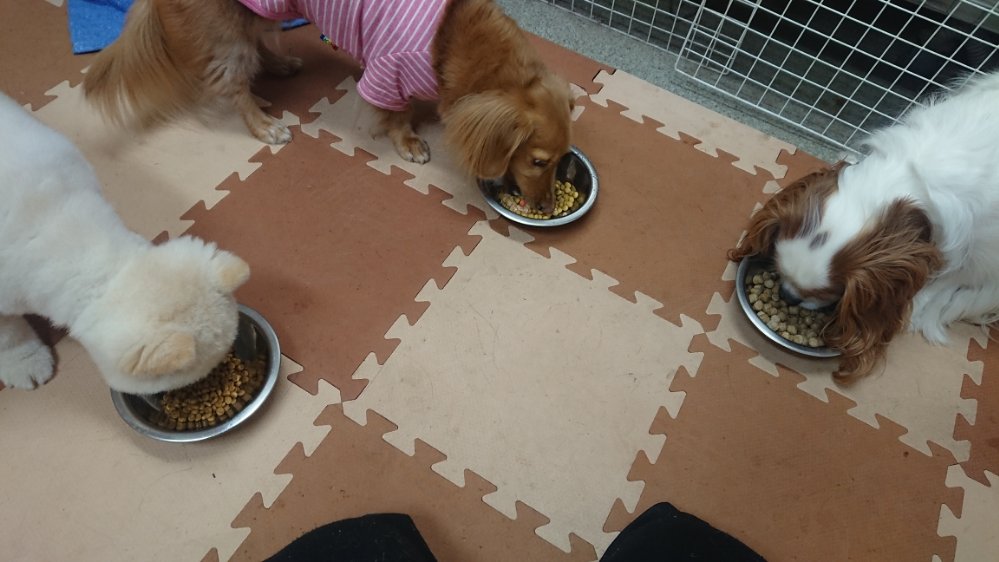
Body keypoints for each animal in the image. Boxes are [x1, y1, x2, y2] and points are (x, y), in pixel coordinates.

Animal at [81, 0, 574, 213]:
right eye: (537, 161)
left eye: (563, 160)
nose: (546, 207)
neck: (454, 39)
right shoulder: (387, 71)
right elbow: (396, 114)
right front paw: (409, 142)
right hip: (226, 35)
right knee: (234, 86)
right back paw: (265, 124)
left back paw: (281, 65)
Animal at [730, 71, 999, 380]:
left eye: (828, 292)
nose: (787, 295)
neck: (912, 176)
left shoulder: (978, 250)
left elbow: (949, 278)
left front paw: (919, 306)